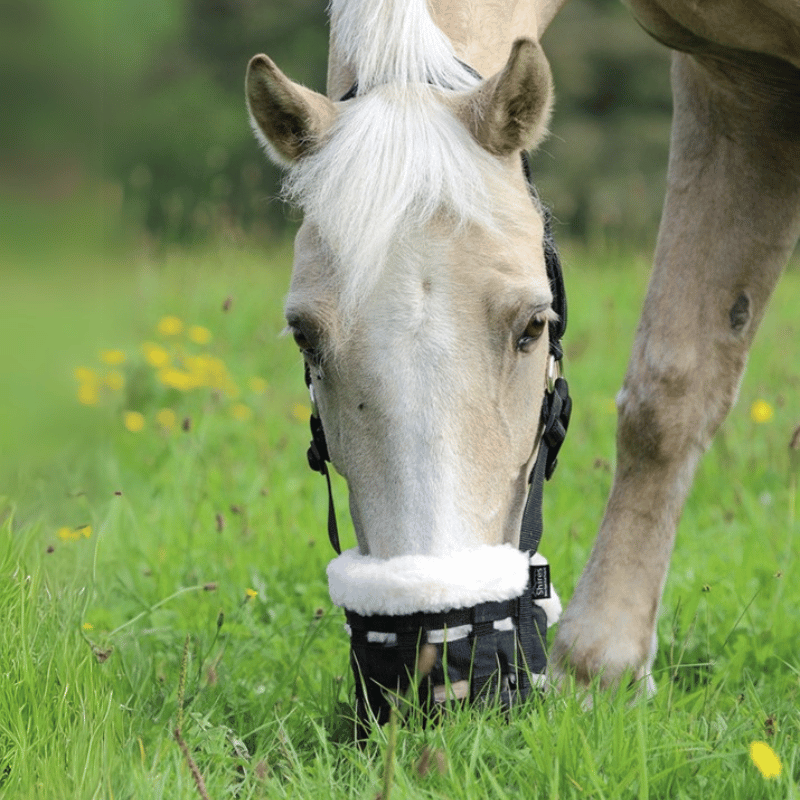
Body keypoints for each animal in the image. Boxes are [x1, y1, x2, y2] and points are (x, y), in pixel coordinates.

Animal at [245, 0, 800, 716]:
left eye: (534, 327)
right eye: (305, 337)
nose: (437, 669)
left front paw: (599, 663)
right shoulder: (735, 76)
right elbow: (671, 390)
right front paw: (601, 671)